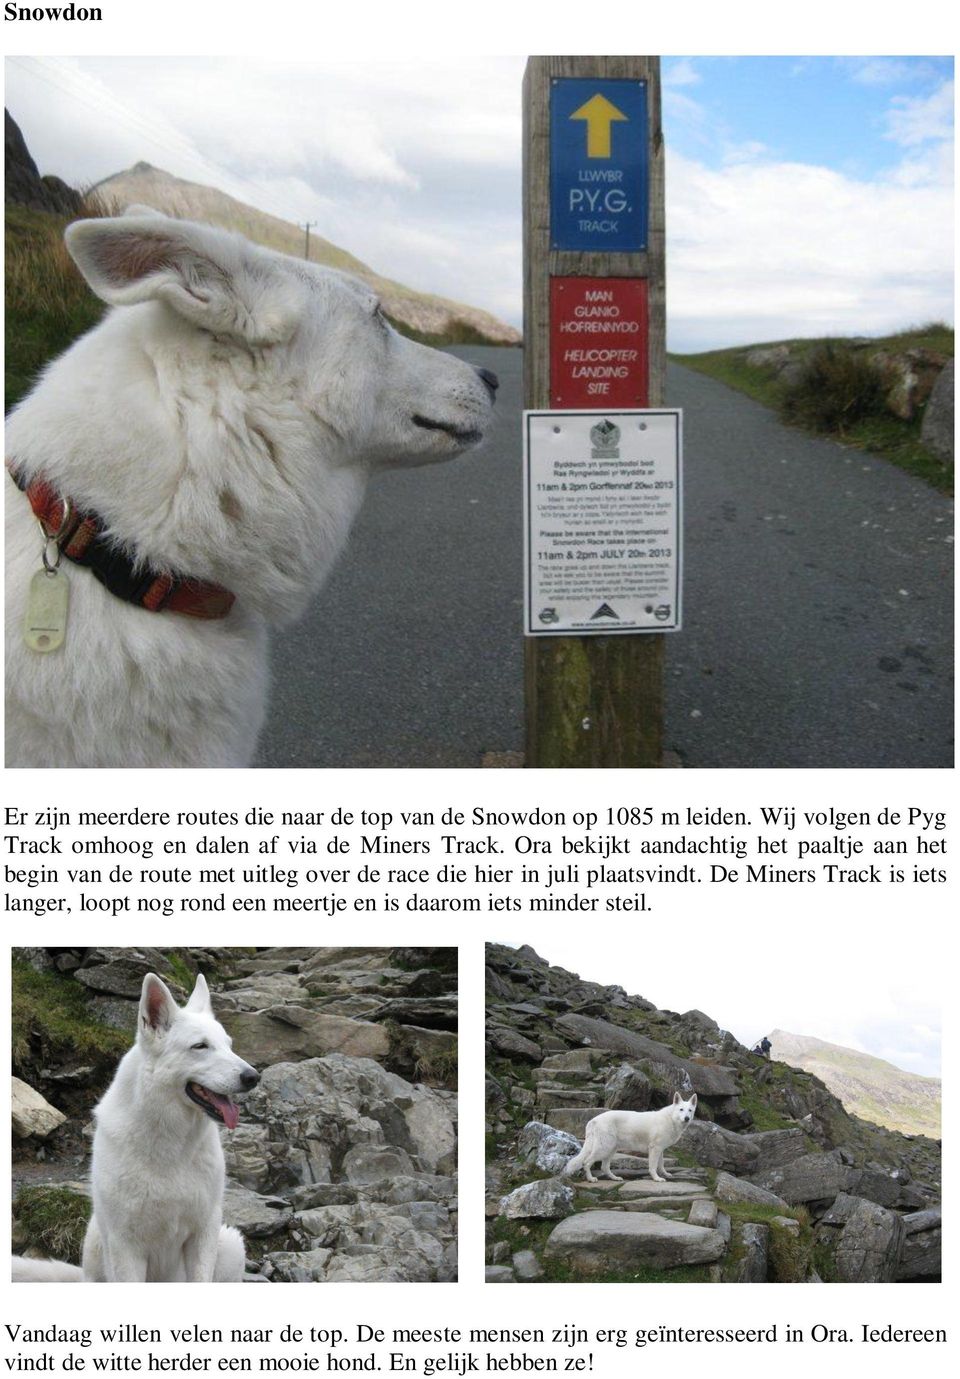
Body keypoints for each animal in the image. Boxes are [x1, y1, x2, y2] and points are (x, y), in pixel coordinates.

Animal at [14, 970, 259, 1279]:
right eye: (200, 1046)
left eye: (229, 1045)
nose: (253, 1077)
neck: (172, 1144)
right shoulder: (125, 1247)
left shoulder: (203, 1234)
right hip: (96, 1240)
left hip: (230, 1244)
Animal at [562, 1092, 697, 1180]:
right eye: (681, 1109)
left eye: (690, 1110)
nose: (686, 1118)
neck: (671, 1119)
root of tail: (594, 1120)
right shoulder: (655, 1149)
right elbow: (653, 1166)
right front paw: (656, 1178)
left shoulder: (660, 1150)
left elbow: (661, 1165)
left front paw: (665, 1174)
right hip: (604, 1148)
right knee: (586, 1162)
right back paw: (591, 1179)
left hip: (610, 1150)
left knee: (604, 1167)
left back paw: (615, 1178)